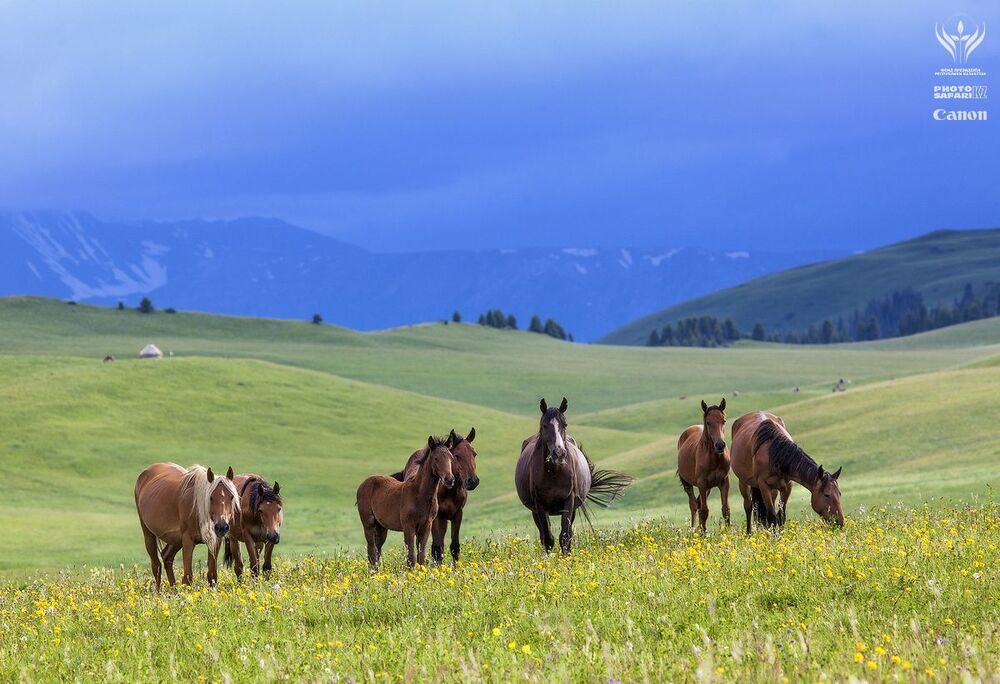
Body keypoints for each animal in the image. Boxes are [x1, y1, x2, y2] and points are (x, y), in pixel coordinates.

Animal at [356, 436, 456, 569]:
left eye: (451, 457)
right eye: (436, 458)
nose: (449, 480)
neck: (419, 495)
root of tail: (363, 484)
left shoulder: (426, 526)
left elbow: (421, 556)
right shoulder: (408, 527)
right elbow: (411, 558)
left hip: (381, 527)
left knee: (377, 550)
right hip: (368, 523)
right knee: (372, 550)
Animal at [392, 428, 479, 564]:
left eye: (474, 454)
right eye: (457, 455)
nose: (472, 481)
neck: (448, 492)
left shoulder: (458, 514)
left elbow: (454, 546)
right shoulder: (436, 518)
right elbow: (437, 548)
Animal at [515, 397, 633, 555]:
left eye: (564, 424)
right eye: (544, 425)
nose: (559, 453)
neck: (554, 473)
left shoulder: (569, 501)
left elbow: (565, 536)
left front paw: (567, 559)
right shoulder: (539, 505)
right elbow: (548, 539)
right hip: (536, 511)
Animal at [677, 399, 731, 531]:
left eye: (723, 421)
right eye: (708, 422)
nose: (720, 445)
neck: (715, 459)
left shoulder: (724, 482)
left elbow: (726, 509)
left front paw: (728, 532)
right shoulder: (702, 483)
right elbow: (704, 511)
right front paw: (703, 533)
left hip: (708, 488)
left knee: (698, 503)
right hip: (689, 484)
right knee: (693, 505)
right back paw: (693, 530)